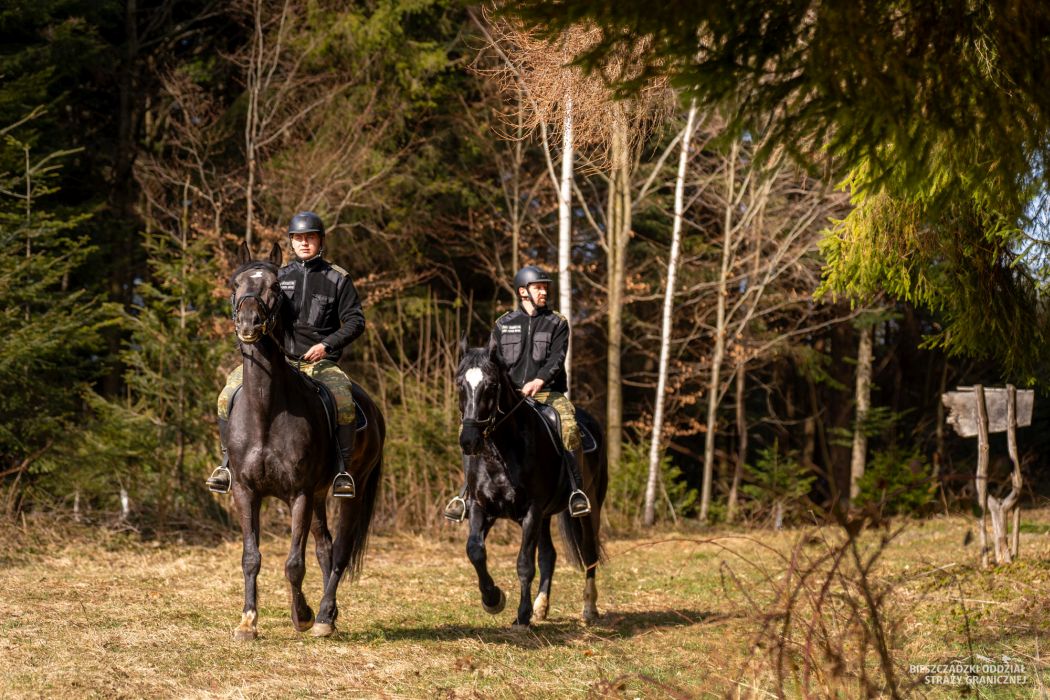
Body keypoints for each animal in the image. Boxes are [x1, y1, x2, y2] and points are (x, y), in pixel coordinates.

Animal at [225, 241, 384, 640]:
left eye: (274, 288)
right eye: (236, 284)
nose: (249, 323)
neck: (266, 411)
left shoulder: (298, 494)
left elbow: (294, 563)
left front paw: (303, 615)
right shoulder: (246, 492)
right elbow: (251, 557)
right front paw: (248, 621)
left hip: (348, 491)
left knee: (340, 551)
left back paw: (325, 616)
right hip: (318, 496)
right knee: (325, 547)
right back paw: (332, 614)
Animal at [455, 338, 608, 626]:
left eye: (491, 385)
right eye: (460, 383)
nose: (468, 440)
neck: (501, 454)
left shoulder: (532, 511)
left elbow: (525, 563)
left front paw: (522, 615)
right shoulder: (482, 507)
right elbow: (475, 550)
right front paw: (493, 599)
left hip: (590, 505)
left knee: (589, 552)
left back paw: (588, 609)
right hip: (546, 516)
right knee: (549, 555)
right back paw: (541, 606)